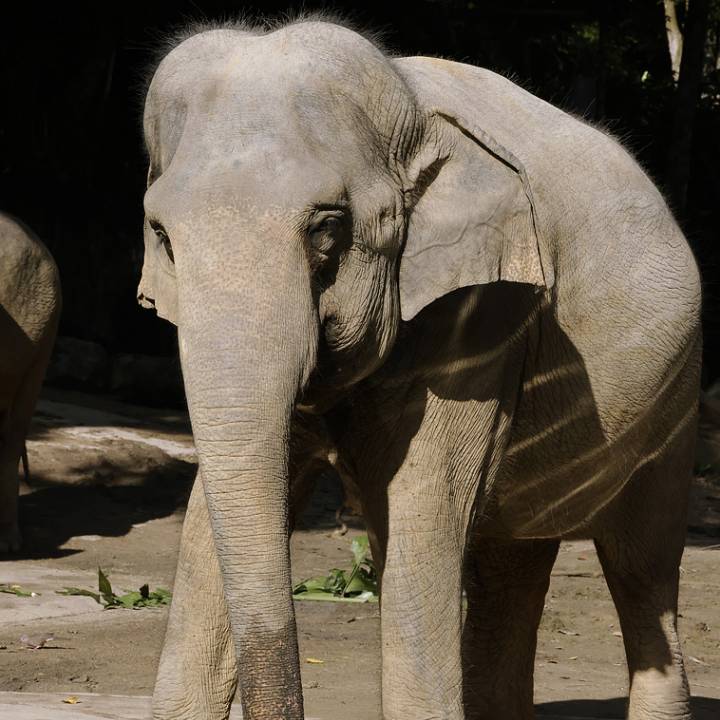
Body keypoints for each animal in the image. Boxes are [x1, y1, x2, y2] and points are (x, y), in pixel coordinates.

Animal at [138, 17, 702, 720]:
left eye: (328, 228)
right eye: (162, 234)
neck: (410, 113)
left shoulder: (484, 310)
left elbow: (423, 510)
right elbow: (208, 527)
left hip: (677, 398)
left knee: (641, 569)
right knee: (511, 560)